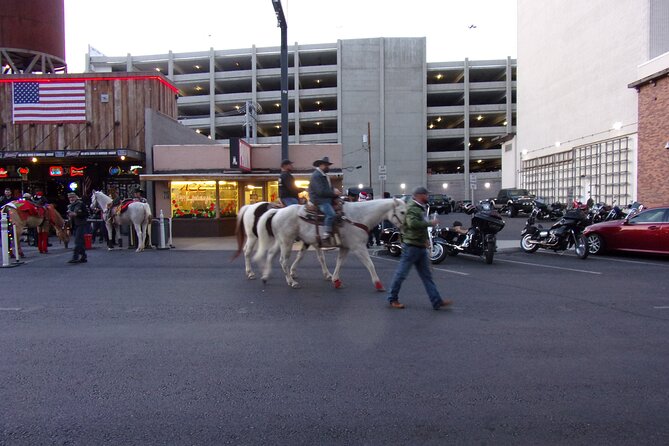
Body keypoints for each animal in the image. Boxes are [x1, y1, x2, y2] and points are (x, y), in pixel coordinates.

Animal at [253, 200, 404, 290]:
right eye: (402, 211)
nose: (405, 228)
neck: (358, 217)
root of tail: (278, 211)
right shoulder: (358, 247)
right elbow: (370, 264)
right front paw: (378, 284)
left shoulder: (345, 247)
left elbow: (339, 262)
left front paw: (335, 280)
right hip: (287, 241)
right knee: (283, 261)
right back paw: (291, 282)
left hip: (281, 241)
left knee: (271, 255)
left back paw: (266, 276)